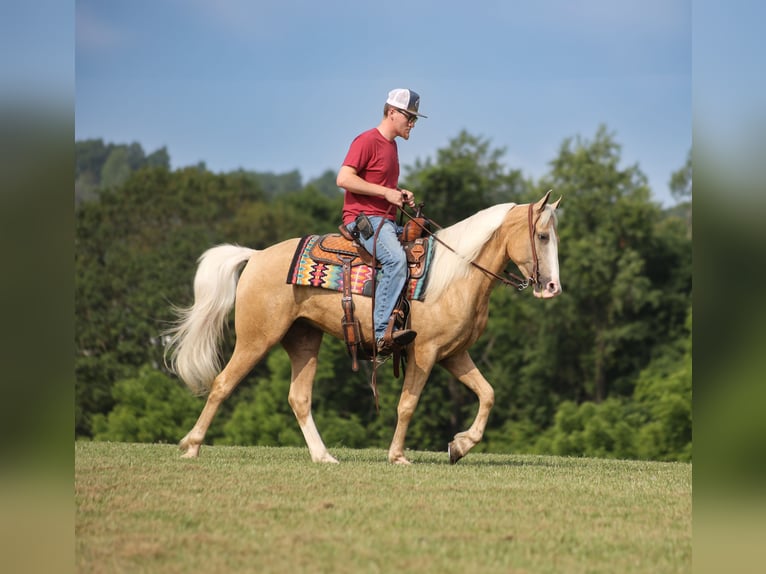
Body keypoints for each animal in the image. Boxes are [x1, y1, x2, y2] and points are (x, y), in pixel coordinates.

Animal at [164, 191, 562, 465]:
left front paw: (459, 446)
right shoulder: (425, 352)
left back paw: (323, 456)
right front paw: (398, 456)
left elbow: (488, 394)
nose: (553, 287)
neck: (455, 275)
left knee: (299, 398)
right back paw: (191, 447)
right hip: (256, 338)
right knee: (222, 384)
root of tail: (256, 255)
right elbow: (407, 404)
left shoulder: (454, 353)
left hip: (304, 339)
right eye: (542, 236)